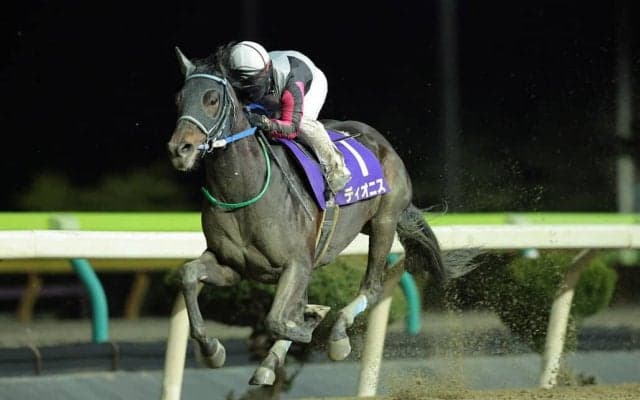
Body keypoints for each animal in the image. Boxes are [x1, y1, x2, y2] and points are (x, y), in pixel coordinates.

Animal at [167, 45, 476, 386]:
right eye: (178, 98)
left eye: (211, 99)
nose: (180, 149)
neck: (243, 192)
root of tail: (381, 142)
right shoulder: (233, 266)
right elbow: (189, 276)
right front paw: (213, 349)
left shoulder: (297, 263)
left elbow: (278, 319)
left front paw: (311, 321)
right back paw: (272, 359)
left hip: (384, 222)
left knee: (371, 287)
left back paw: (337, 335)